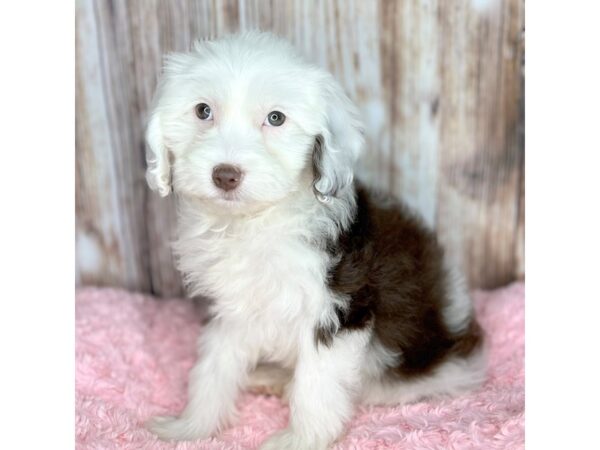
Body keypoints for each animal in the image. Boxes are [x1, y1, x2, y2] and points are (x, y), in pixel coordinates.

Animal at [145, 31, 488, 450]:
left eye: (276, 118)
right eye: (203, 111)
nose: (225, 174)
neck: (257, 222)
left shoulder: (338, 309)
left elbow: (317, 384)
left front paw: (300, 439)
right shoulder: (233, 309)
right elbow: (214, 365)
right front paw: (190, 427)